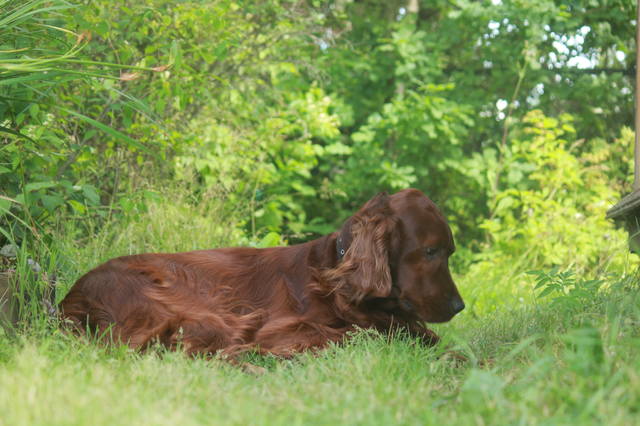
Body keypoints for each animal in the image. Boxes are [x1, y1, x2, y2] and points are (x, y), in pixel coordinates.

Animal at [61, 190, 464, 356]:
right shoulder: (283, 327)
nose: (459, 307)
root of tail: (73, 297)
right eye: (430, 251)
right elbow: (362, 333)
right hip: (203, 311)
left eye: (450, 252)